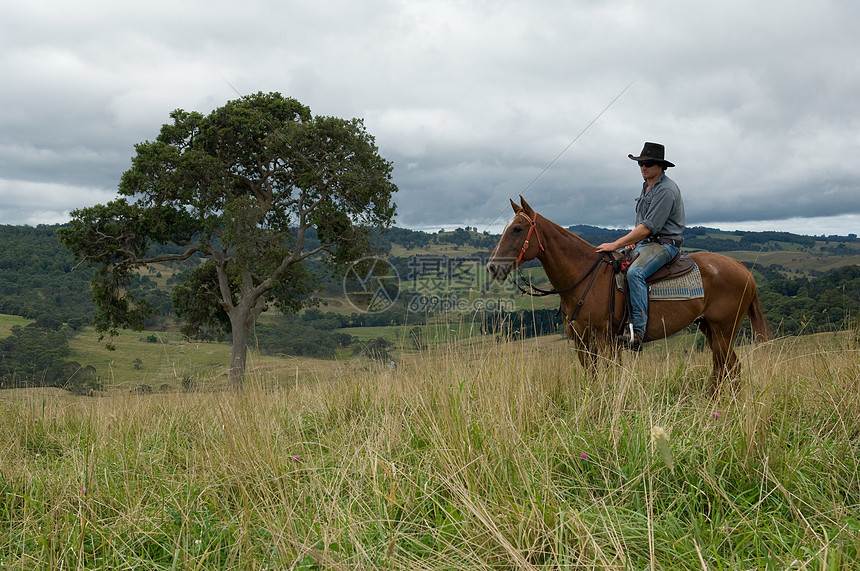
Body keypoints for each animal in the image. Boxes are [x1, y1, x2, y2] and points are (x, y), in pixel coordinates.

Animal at [484, 197, 772, 394]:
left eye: (517, 229)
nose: (493, 267)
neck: (585, 276)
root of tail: (743, 270)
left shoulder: (605, 340)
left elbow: (609, 377)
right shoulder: (582, 341)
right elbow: (593, 379)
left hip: (723, 330)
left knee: (728, 367)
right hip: (709, 328)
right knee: (727, 367)